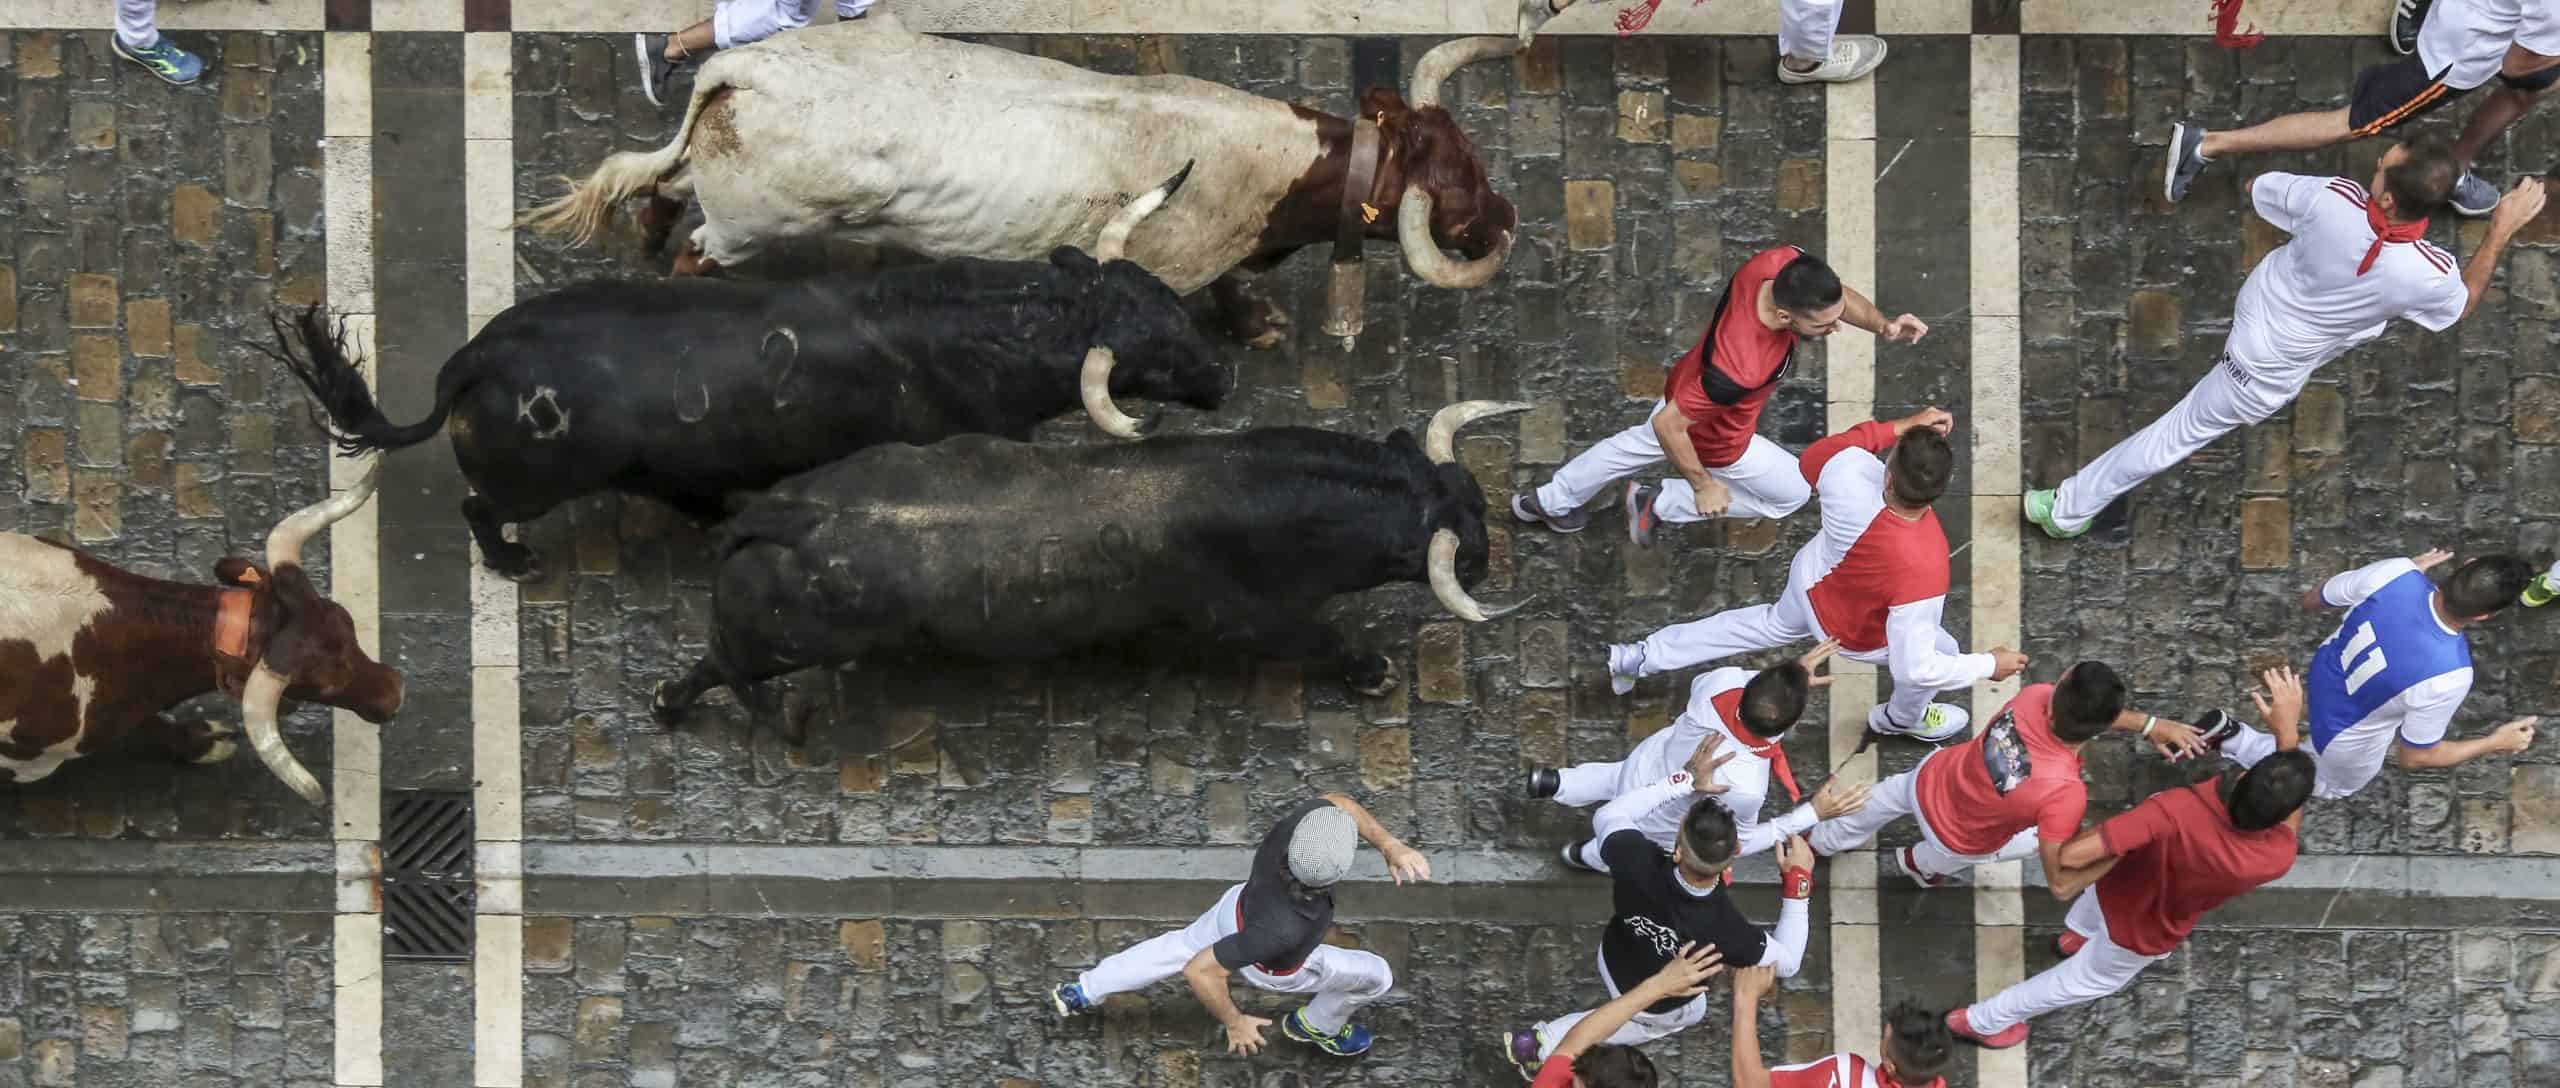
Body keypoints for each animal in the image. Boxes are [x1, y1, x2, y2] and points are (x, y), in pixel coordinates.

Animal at [0, 460, 401, 803]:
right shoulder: (28, 760)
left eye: (347, 622)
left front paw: (203, 740)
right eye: (325, 685)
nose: (396, 693)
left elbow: (151, 724)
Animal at [262, 241, 1228, 581]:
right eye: (1159, 348)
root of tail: (476, 361)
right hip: (527, 485)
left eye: (1171, 302)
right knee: (478, 508)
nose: (1220, 380)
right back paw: (512, 562)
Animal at [519, 18, 1515, 348]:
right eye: (1458, 191)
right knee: (695, 255)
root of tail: (744, 70)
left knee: (663, 191)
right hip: (747, 227)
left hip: (714, 181)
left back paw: (644, 234)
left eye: (1472, 156)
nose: (1506, 215)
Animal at [655, 401, 1536, 742]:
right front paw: (1374, 671)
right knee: (719, 663)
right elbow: (1324, 642)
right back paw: (682, 706)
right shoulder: (1257, 617)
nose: (1490, 556)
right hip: (781, 641)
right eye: (1464, 534)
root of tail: (784, 513)